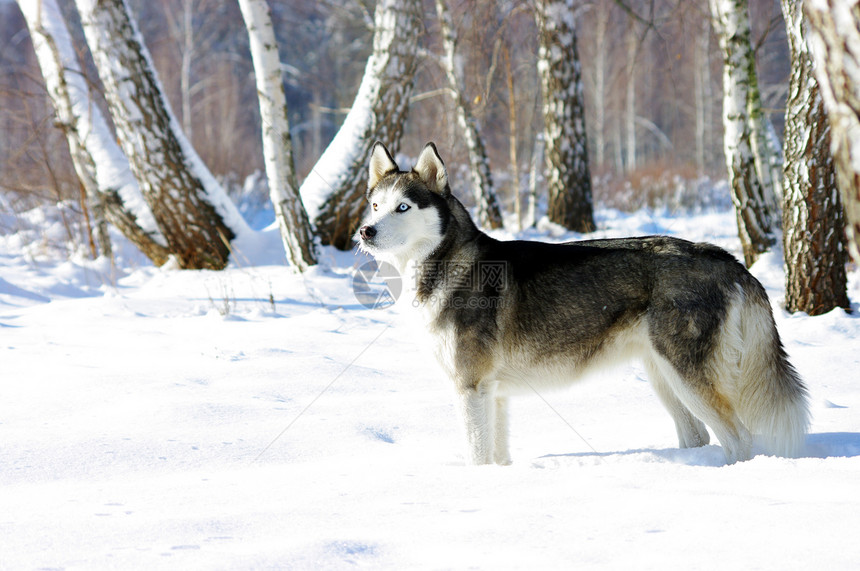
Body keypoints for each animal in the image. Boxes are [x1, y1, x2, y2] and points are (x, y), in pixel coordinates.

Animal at [354, 142, 808, 464]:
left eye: (403, 207)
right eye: (375, 205)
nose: (365, 231)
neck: (443, 263)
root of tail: (729, 260)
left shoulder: (471, 388)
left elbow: (477, 456)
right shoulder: (492, 394)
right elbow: (496, 456)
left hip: (688, 377)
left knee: (740, 440)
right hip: (664, 375)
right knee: (698, 436)